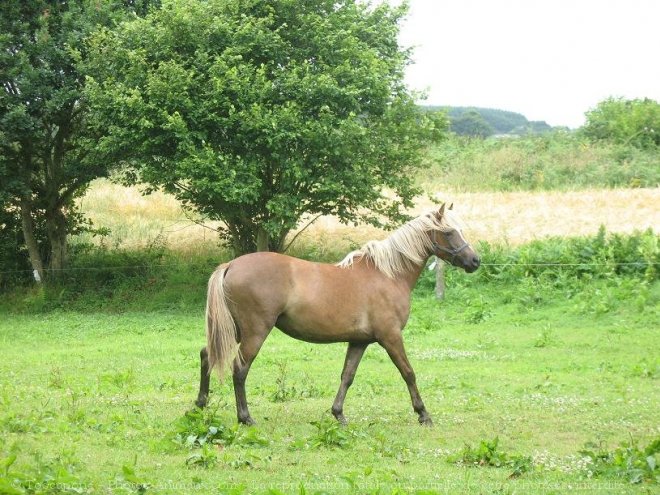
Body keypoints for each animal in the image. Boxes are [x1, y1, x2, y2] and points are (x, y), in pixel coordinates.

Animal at [196, 204, 480, 426]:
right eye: (449, 232)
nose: (474, 261)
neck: (387, 274)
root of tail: (231, 265)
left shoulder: (359, 341)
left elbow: (347, 376)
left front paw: (338, 414)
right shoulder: (390, 337)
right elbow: (408, 372)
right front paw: (423, 414)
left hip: (233, 329)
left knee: (207, 355)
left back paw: (201, 404)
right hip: (255, 331)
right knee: (239, 368)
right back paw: (245, 417)